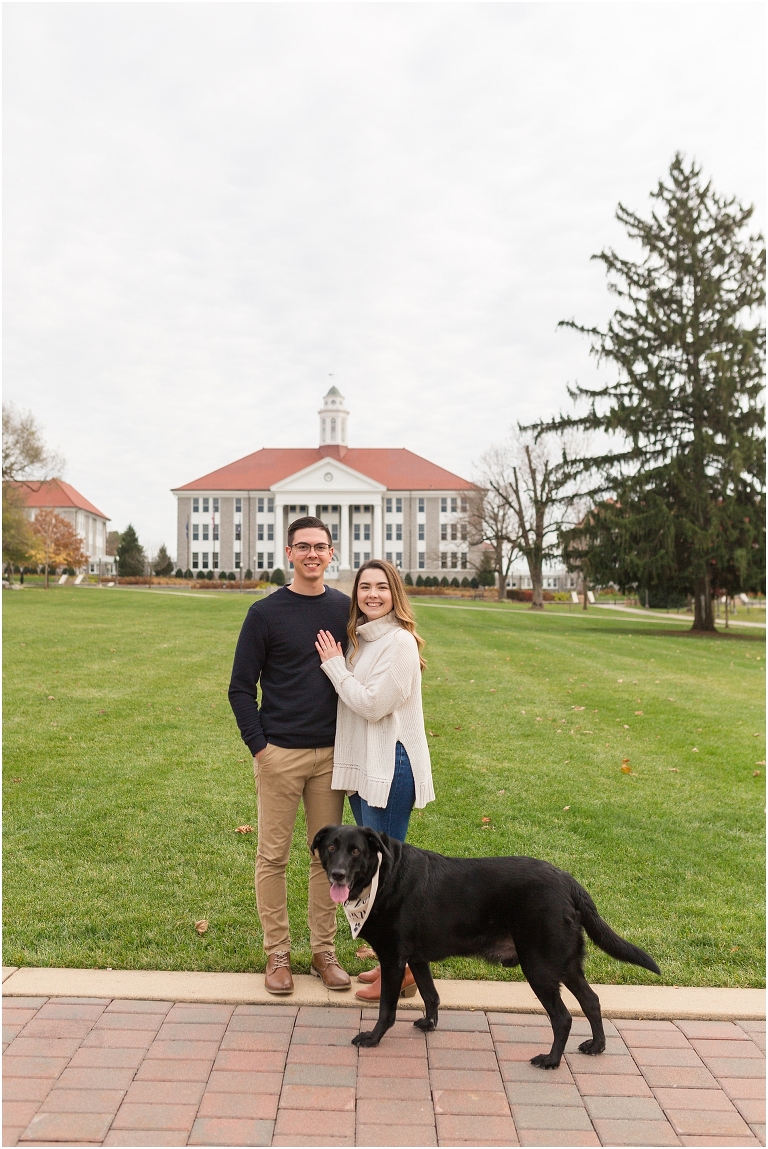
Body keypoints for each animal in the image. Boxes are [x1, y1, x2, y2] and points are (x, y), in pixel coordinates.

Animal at [308, 827, 657, 1066]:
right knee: (592, 1001)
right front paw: (429, 1024)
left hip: (540, 967)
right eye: (331, 847)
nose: (337, 874)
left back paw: (551, 1061)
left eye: (356, 851)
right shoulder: (417, 959)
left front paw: (372, 1037)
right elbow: (431, 995)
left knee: (563, 1017)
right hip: (565, 963)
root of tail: (569, 882)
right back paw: (596, 1046)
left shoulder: (393, 960)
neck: (384, 877)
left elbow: (386, 1010)